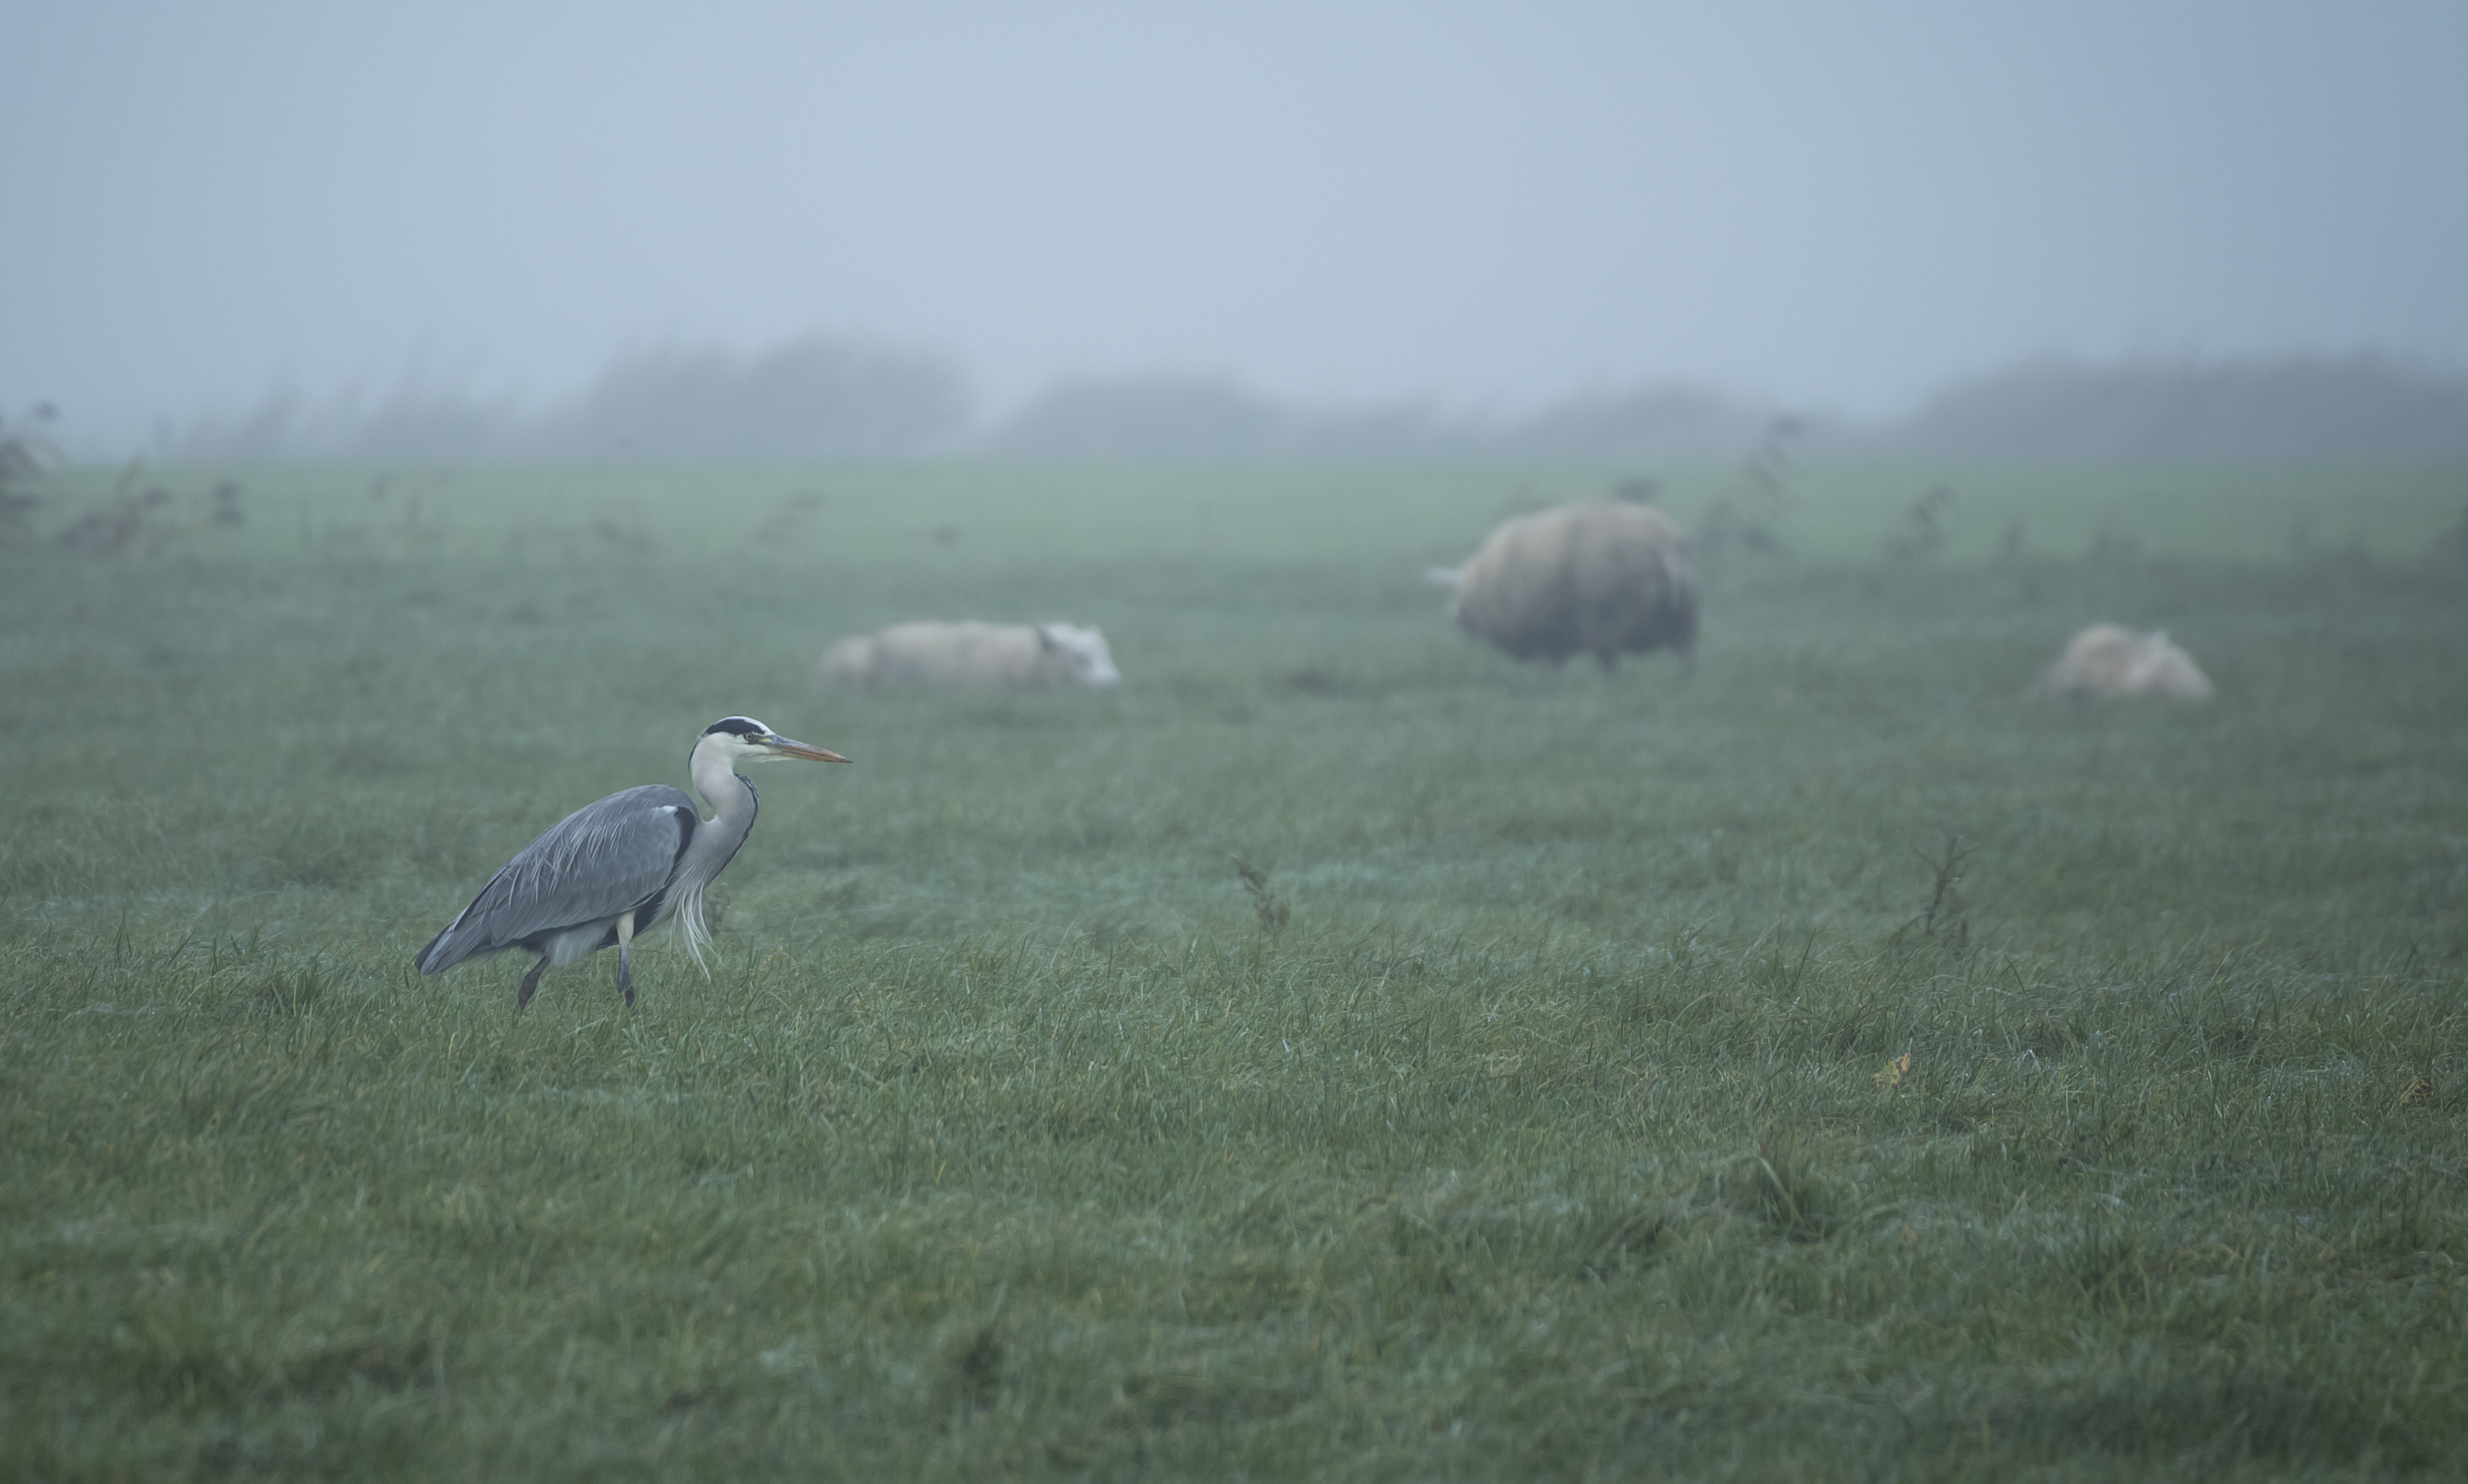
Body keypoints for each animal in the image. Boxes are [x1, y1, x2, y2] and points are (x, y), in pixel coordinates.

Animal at [1441, 501, 1698, 667]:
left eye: (1455, 593)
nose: (1452, 618)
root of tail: (1662, 546)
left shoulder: (1544, 634)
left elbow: (1551, 671)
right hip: (1684, 618)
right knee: (1685, 660)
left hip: (1609, 624)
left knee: (1611, 664)